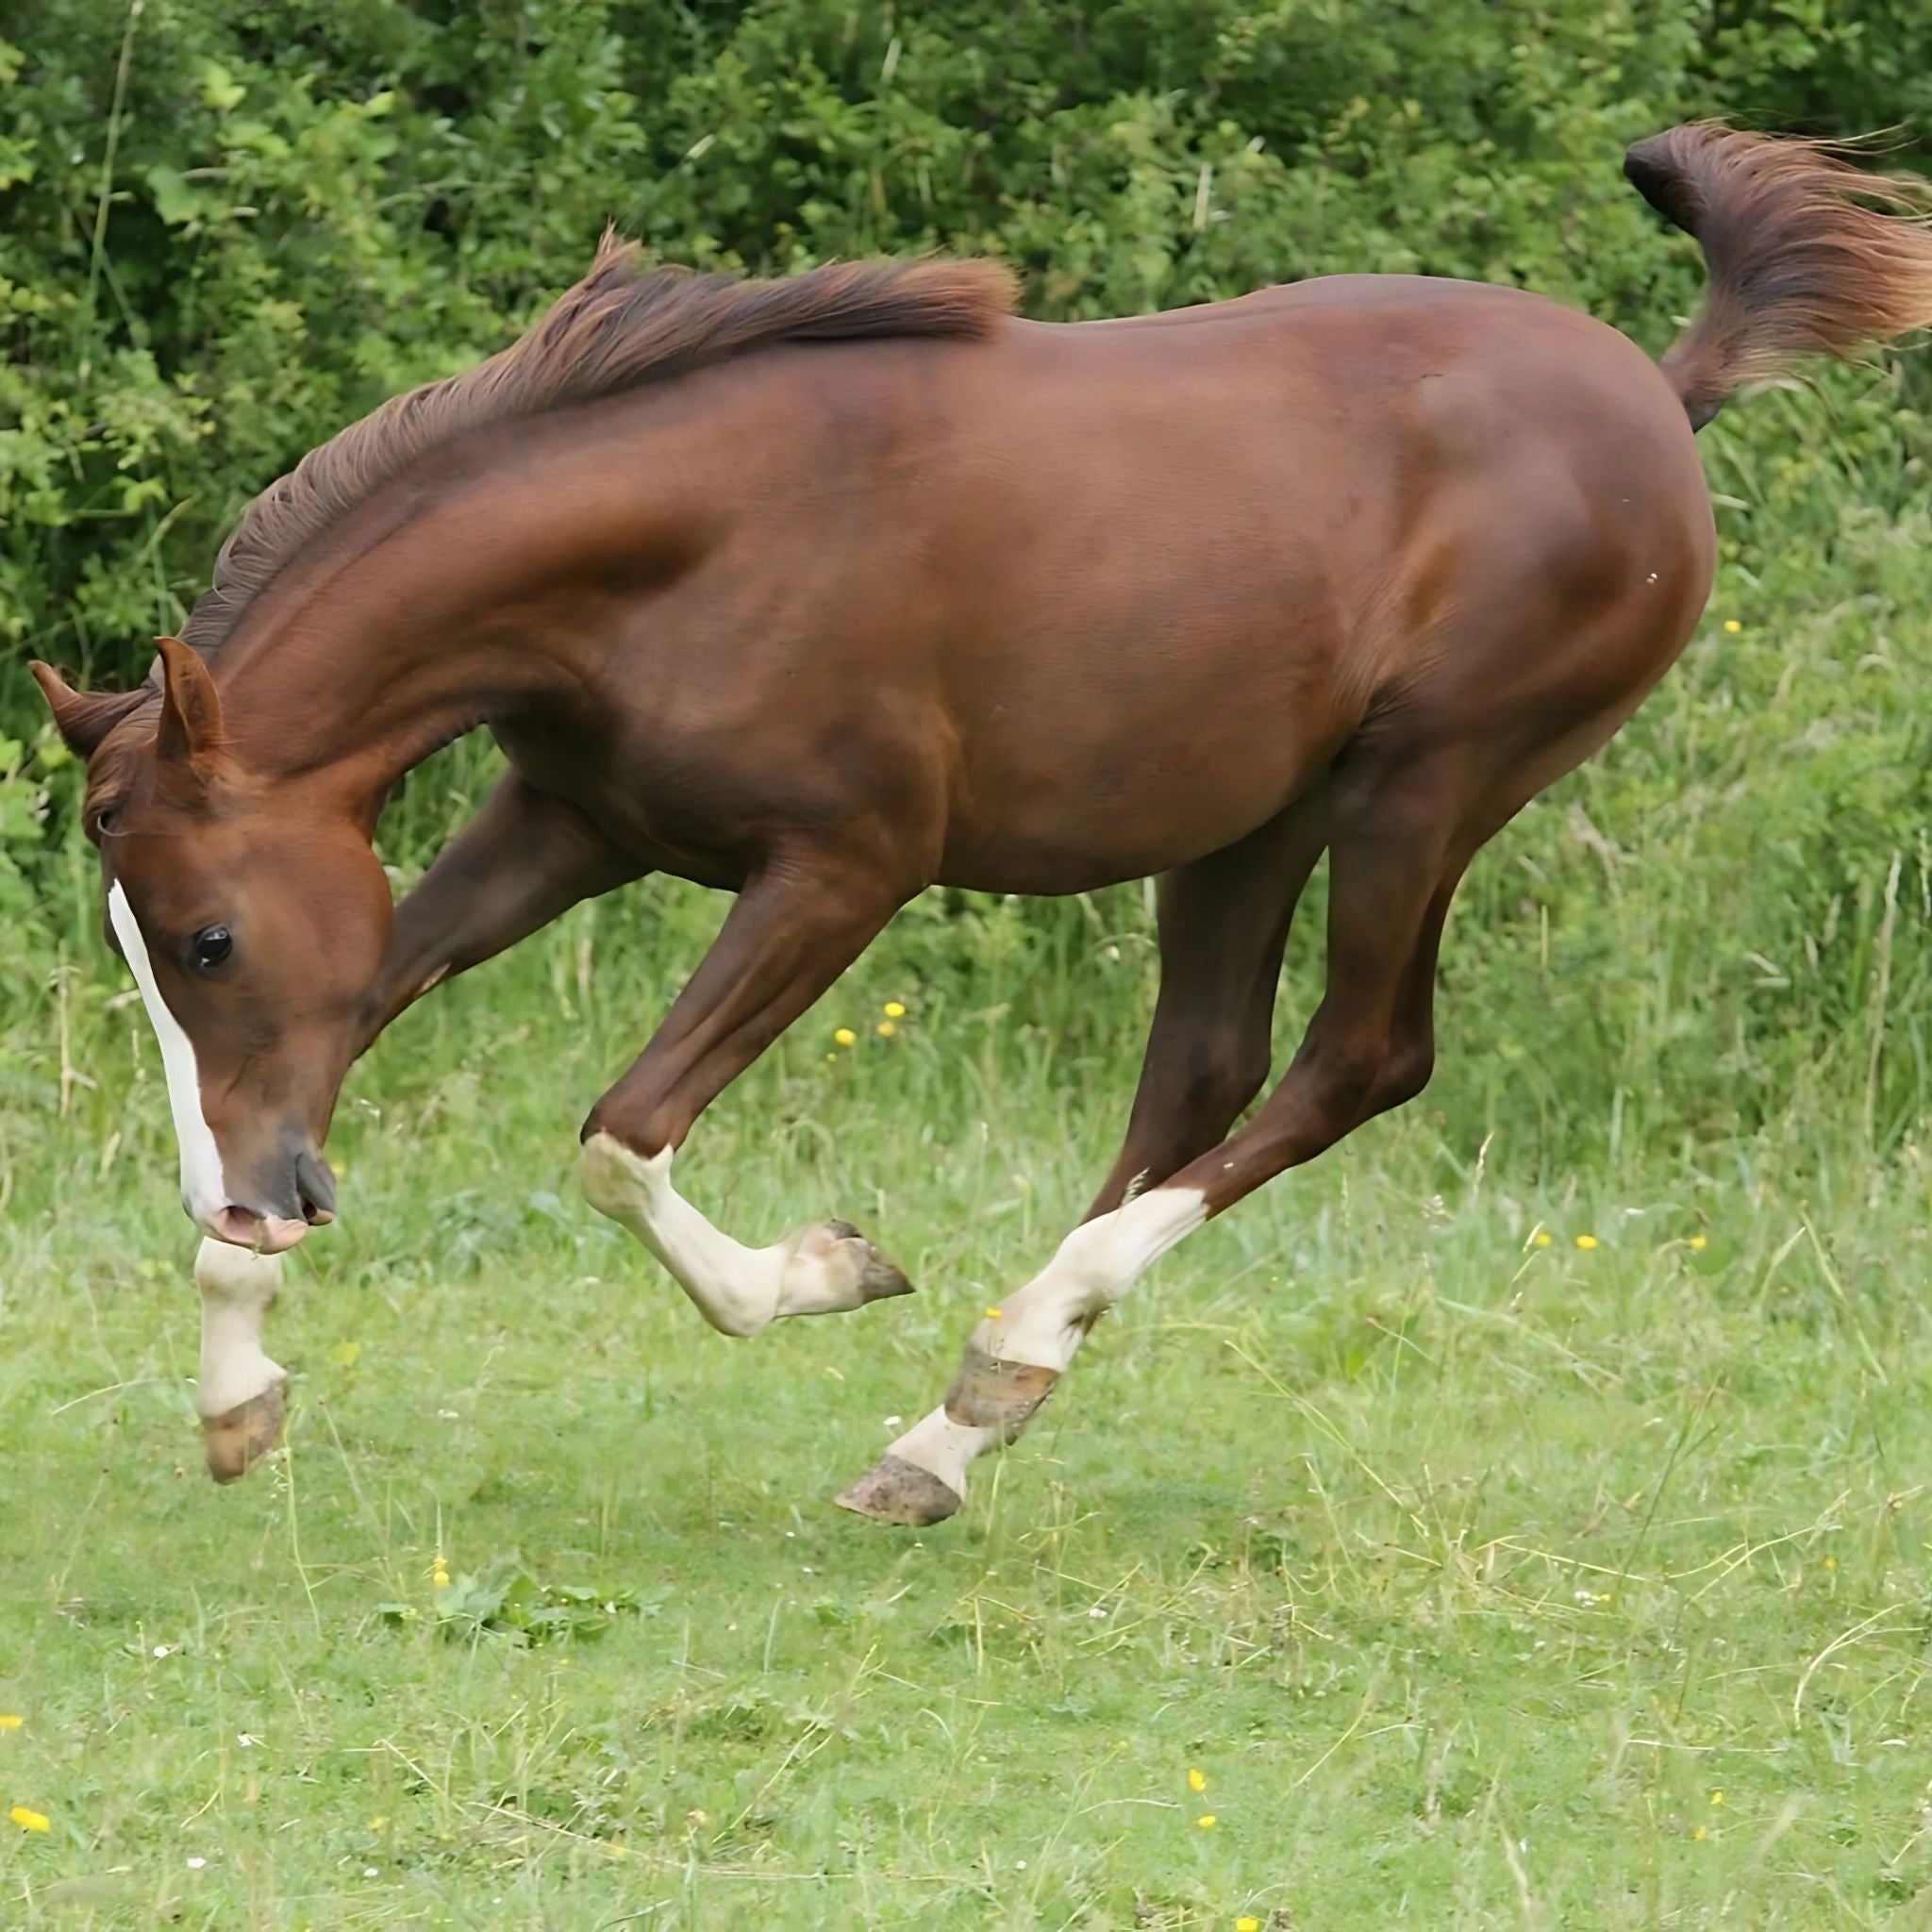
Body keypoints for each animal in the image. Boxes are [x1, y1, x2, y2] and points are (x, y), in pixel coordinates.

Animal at [34, 125, 1932, 1507]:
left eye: (208, 935)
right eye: (148, 944)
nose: (264, 1204)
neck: (693, 541)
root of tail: (1658, 398)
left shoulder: (845, 866)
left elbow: (620, 1136)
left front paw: (828, 1269)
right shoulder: (569, 819)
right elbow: (374, 1005)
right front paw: (241, 1395)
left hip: (1430, 783)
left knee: (1358, 1059)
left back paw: (996, 1358)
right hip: (1248, 818)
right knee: (1204, 1072)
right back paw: (963, 1420)